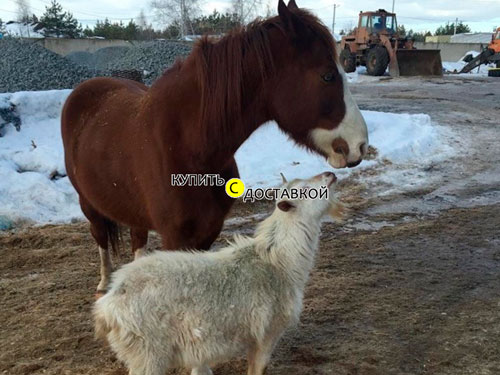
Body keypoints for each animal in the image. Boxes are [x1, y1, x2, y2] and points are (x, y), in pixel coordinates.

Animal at [61, 0, 368, 294]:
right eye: (327, 76)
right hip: (89, 204)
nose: (360, 145)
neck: (188, 146)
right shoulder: (175, 237)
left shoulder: (208, 230)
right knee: (100, 236)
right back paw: (105, 282)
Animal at [94, 172, 340, 374]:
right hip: (148, 353)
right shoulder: (268, 333)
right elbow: (258, 369)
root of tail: (107, 307)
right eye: (307, 189)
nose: (330, 174)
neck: (278, 261)